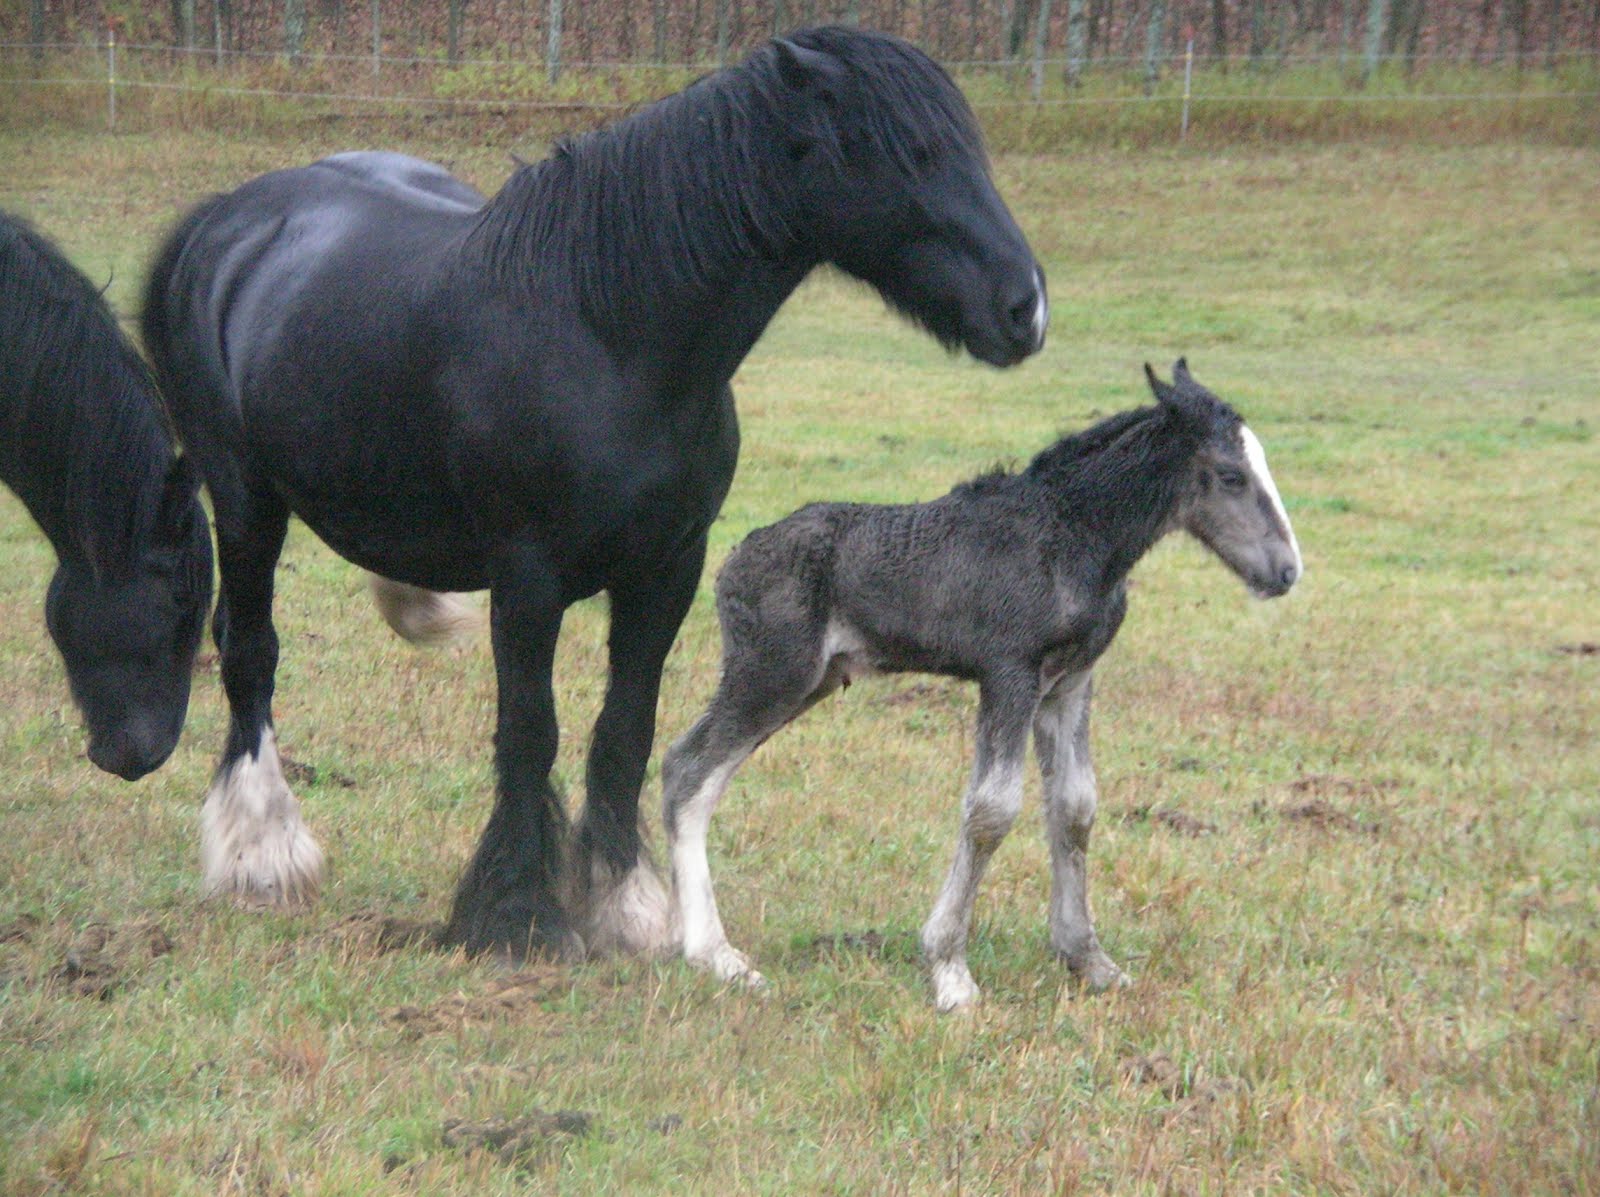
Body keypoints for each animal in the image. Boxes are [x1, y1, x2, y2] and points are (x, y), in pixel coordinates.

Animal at [140, 26, 1047, 946]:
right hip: (246, 502)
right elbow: (530, 730)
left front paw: (625, 902)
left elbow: (625, 729)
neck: (607, 332)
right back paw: (262, 851)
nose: (1026, 308)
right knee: (250, 649)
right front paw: (515, 910)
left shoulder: (667, 571)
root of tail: (227, 219)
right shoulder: (528, 580)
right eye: (904, 153)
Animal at [661, 360, 1302, 1011]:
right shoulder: (1009, 673)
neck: (1072, 536)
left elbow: (1075, 807)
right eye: (1230, 476)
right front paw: (950, 970)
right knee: (689, 770)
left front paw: (1088, 959)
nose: (1286, 570)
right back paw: (716, 955)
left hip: (808, 679)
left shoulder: (1069, 683)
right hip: (772, 672)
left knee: (693, 768)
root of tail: (732, 559)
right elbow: (991, 811)